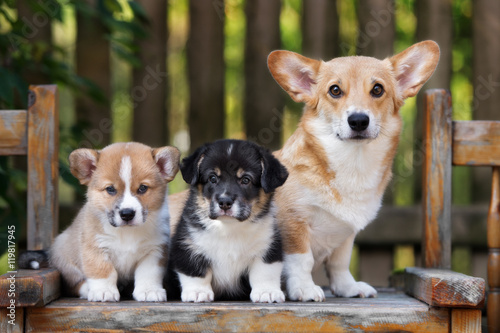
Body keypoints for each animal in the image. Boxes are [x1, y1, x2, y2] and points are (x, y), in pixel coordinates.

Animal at [22, 141, 182, 302]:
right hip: (68, 263)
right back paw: (87, 289)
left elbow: (148, 273)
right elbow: (104, 271)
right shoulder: (96, 248)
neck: (126, 232)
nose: (127, 214)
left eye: (143, 188)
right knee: (73, 285)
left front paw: (149, 291)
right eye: (110, 189)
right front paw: (104, 291)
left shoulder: (154, 251)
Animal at [268, 40, 440, 300]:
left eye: (377, 89)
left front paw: (347, 288)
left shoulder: (345, 236)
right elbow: (301, 260)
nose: (358, 120)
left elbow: (339, 263)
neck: (353, 164)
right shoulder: (293, 222)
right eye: (335, 90)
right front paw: (304, 288)